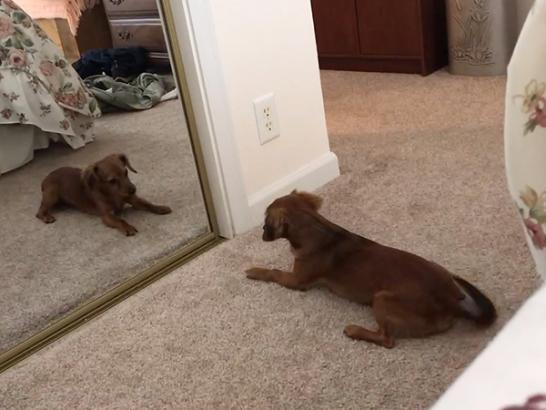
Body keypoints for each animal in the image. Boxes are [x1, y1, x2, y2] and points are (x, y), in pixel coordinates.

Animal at [36, 152, 171, 235]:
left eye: (126, 172)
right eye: (112, 181)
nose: (133, 190)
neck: (113, 194)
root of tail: (46, 177)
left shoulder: (134, 200)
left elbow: (148, 204)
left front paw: (160, 208)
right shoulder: (107, 216)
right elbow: (120, 221)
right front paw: (128, 228)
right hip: (52, 196)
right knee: (39, 211)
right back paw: (46, 217)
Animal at [244, 191, 496, 348]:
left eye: (265, 222)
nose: (261, 232)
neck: (317, 228)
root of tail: (452, 301)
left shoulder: (297, 281)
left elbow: (273, 272)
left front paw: (254, 271)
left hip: (381, 298)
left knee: (387, 340)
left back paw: (355, 331)